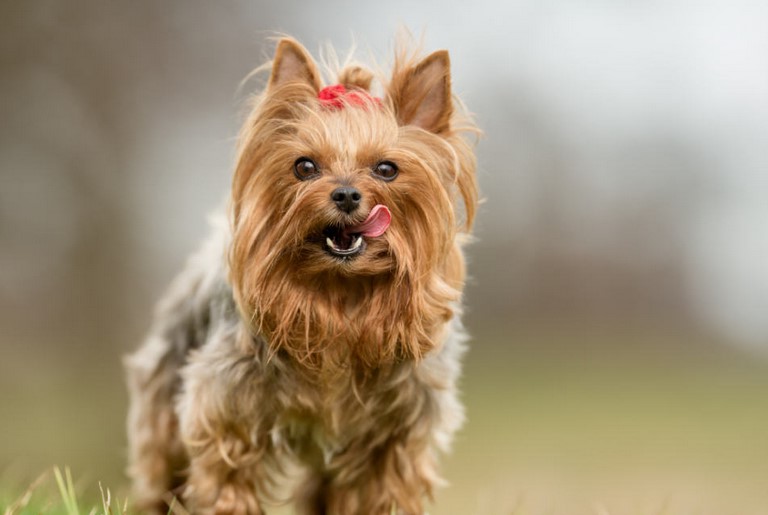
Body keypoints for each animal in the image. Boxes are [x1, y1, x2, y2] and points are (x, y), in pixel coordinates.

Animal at [124, 37, 476, 515]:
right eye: (304, 167)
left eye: (386, 169)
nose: (345, 194)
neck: (341, 292)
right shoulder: (229, 407)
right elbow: (227, 475)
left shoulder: (396, 432)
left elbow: (383, 487)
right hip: (164, 391)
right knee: (162, 469)